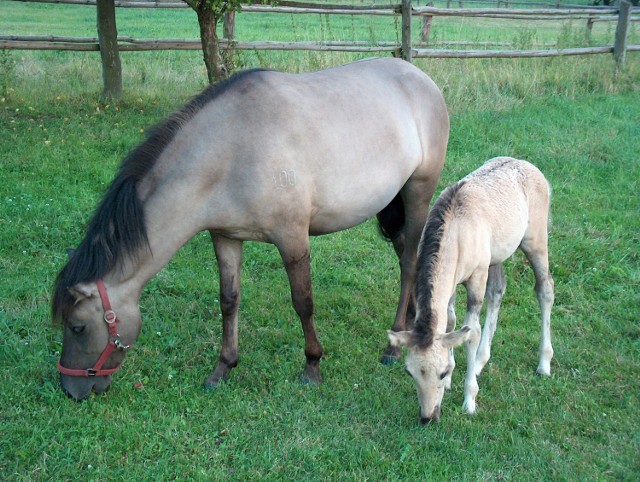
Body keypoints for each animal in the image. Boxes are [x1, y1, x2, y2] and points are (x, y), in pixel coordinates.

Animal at [51, 58, 450, 402]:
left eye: (77, 327)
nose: (70, 391)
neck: (231, 151)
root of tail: (421, 78)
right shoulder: (226, 238)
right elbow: (229, 300)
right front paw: (222, 368)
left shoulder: (292, 239)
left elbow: (303, 302)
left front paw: (312, 366)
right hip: (392, 203)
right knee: (405, 253)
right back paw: (412, 323)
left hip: (417, 192)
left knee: (410, 263)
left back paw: (392, 346)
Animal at [388, 157, 552, 422]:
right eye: (409, 372)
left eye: (441, 372)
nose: (428, 417)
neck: (457, 233)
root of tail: (528, 166)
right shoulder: (453, 282)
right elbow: (451, 323)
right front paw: (456, 379)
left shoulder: (476, 278)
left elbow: (471, 330)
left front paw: (469, 400)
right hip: (496, 256)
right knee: (498, 290)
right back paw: (481, 361)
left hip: (535, 241)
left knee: (545, 288)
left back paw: (544, 363)